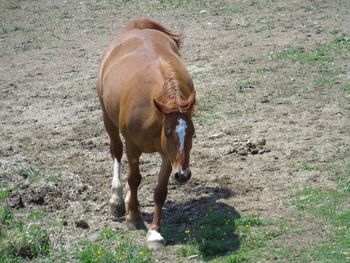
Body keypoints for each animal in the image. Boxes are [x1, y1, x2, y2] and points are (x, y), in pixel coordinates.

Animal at [95, 19, 197, 249]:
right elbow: (134, 179)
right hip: (108, 119)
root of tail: (136, 27)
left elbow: (160, 191)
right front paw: (133, 217)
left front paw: (155, 232)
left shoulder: (169, 156)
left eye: (193, 134)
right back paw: (117, 201)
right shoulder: (133, 146)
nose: (183, 175)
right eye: (167, 133)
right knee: (116, 152)